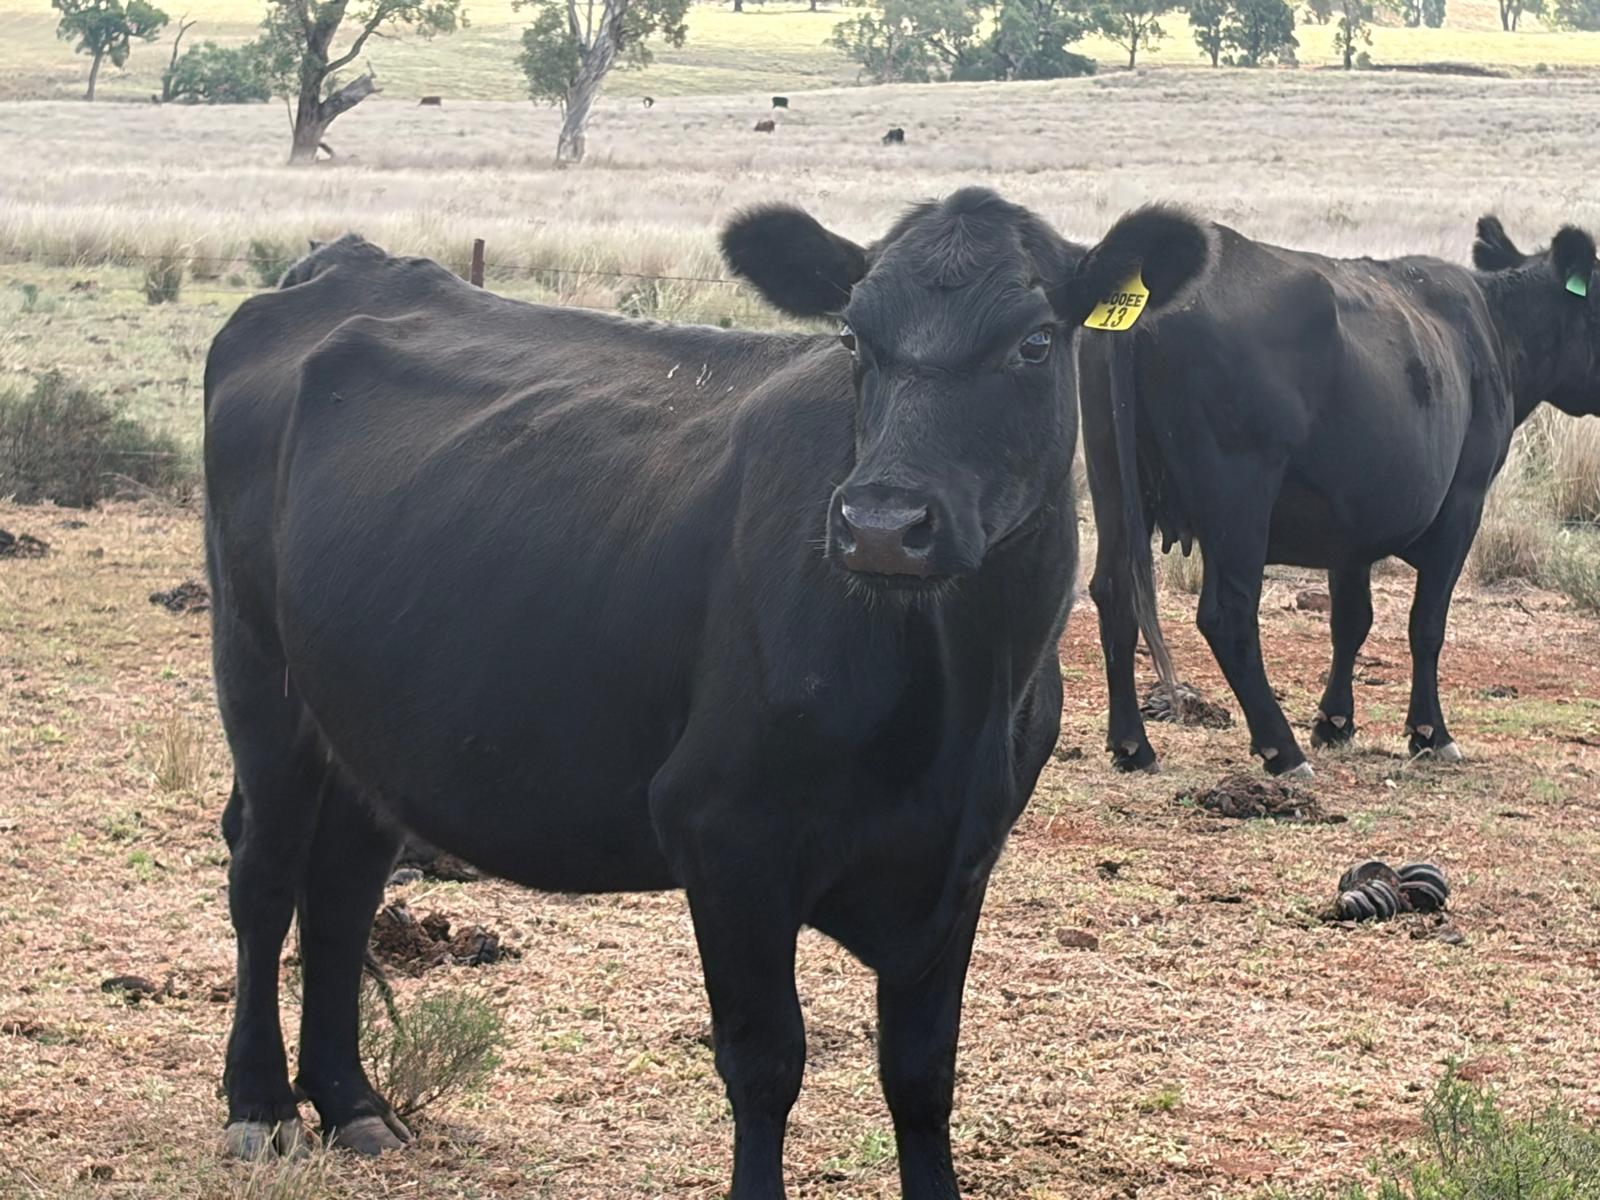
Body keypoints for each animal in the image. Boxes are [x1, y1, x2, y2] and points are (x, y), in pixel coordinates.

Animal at [203, 190, 1211, 1197]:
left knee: (342, 885)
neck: (962, 694)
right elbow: (766, 1064)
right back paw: (262, 1108)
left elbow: (922, 1074)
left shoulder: (961, 860)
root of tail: (341, 266)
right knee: (263, 874)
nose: (883, 524)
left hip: (363, 717)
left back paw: (353, 1104)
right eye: (853, 338)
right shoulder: (724, 833)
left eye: (1036, 341)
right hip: (258, 676)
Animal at [1080, 215, 1600, 778]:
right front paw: (1430, 732)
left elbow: (1351, 621)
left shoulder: (1350, 528)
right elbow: (1427, 624)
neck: (1493, 331)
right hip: (1239, 501)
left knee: (1114, 594)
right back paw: (1281, 750)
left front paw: (1335, 721)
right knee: (1227, 615)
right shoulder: (1462, 504)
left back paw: (1133, 745)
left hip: (1111, 484)